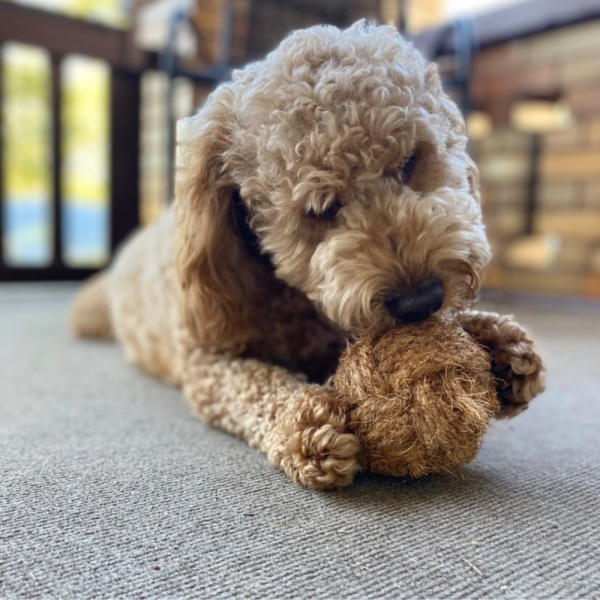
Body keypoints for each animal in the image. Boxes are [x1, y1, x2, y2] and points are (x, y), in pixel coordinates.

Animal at [70, 22, 544, 492]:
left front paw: (497, 342)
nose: (421, 300)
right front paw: (303, 423)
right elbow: (251, 386)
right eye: (319, 208)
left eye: (411, 159)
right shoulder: (205, 360)